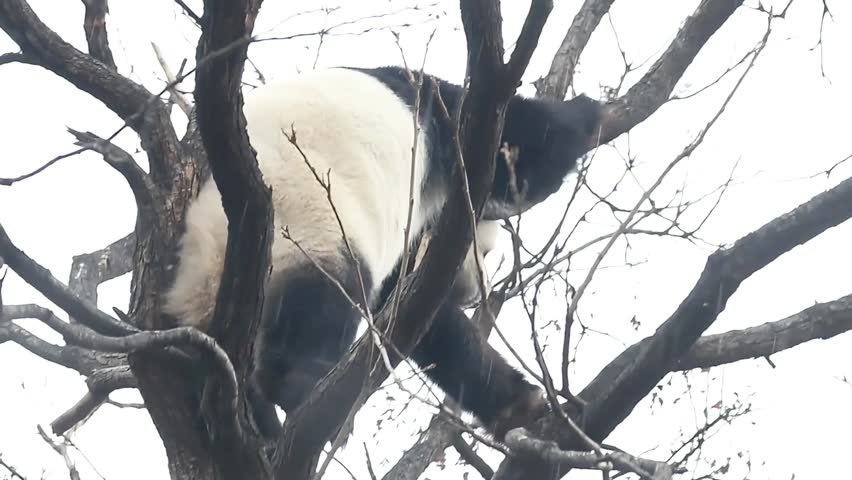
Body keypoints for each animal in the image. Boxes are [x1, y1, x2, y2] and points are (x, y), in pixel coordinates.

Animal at [163, 65, 601, 441]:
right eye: (489, 253)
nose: (474, 293)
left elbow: (426, 320)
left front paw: (518, 405)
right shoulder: (444, 128)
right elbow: (522, 137)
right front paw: (588, 112)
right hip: (303, 222)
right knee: (319, 300)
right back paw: (306, 393)